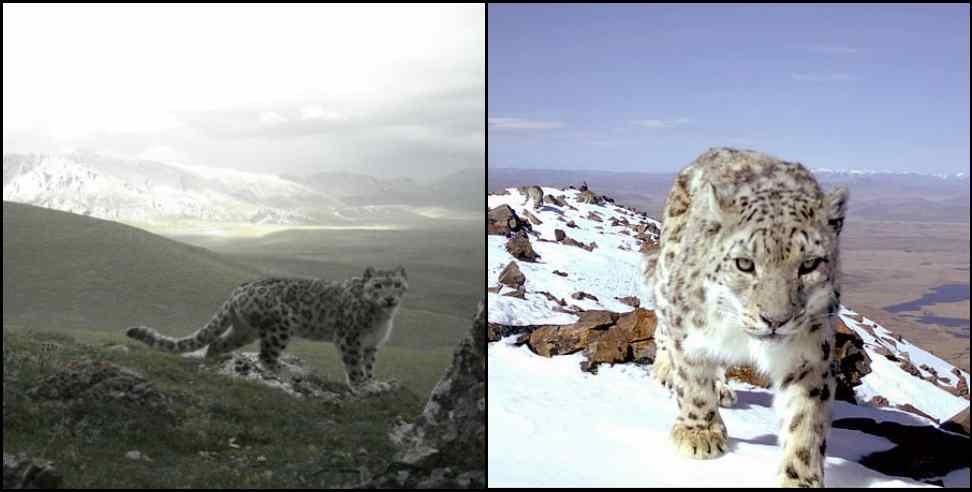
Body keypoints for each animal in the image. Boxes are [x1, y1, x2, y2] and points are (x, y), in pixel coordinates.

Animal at [125, 268, 406, 394]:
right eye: (378, 285)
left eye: (397, 284)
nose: (390, 298)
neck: (383, 318)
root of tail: (238, 289)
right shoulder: (350, 338)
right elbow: (354, 365)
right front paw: (363, 386)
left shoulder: (371, 344)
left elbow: (368, 365)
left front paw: (375, 381)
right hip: (281, 326)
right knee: (266, 356)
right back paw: (288, 371)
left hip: (244, 330)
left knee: (217, 343)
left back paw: (216, 361)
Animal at [644, 147, 852, 488]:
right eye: (744, 263)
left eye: (809, 264)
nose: (775, 320)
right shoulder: (687, 326)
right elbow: (692, 378)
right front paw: (700, 433)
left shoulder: (809, 354)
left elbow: (805, 418)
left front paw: (801, 478)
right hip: (665, 273)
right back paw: (667, 370)